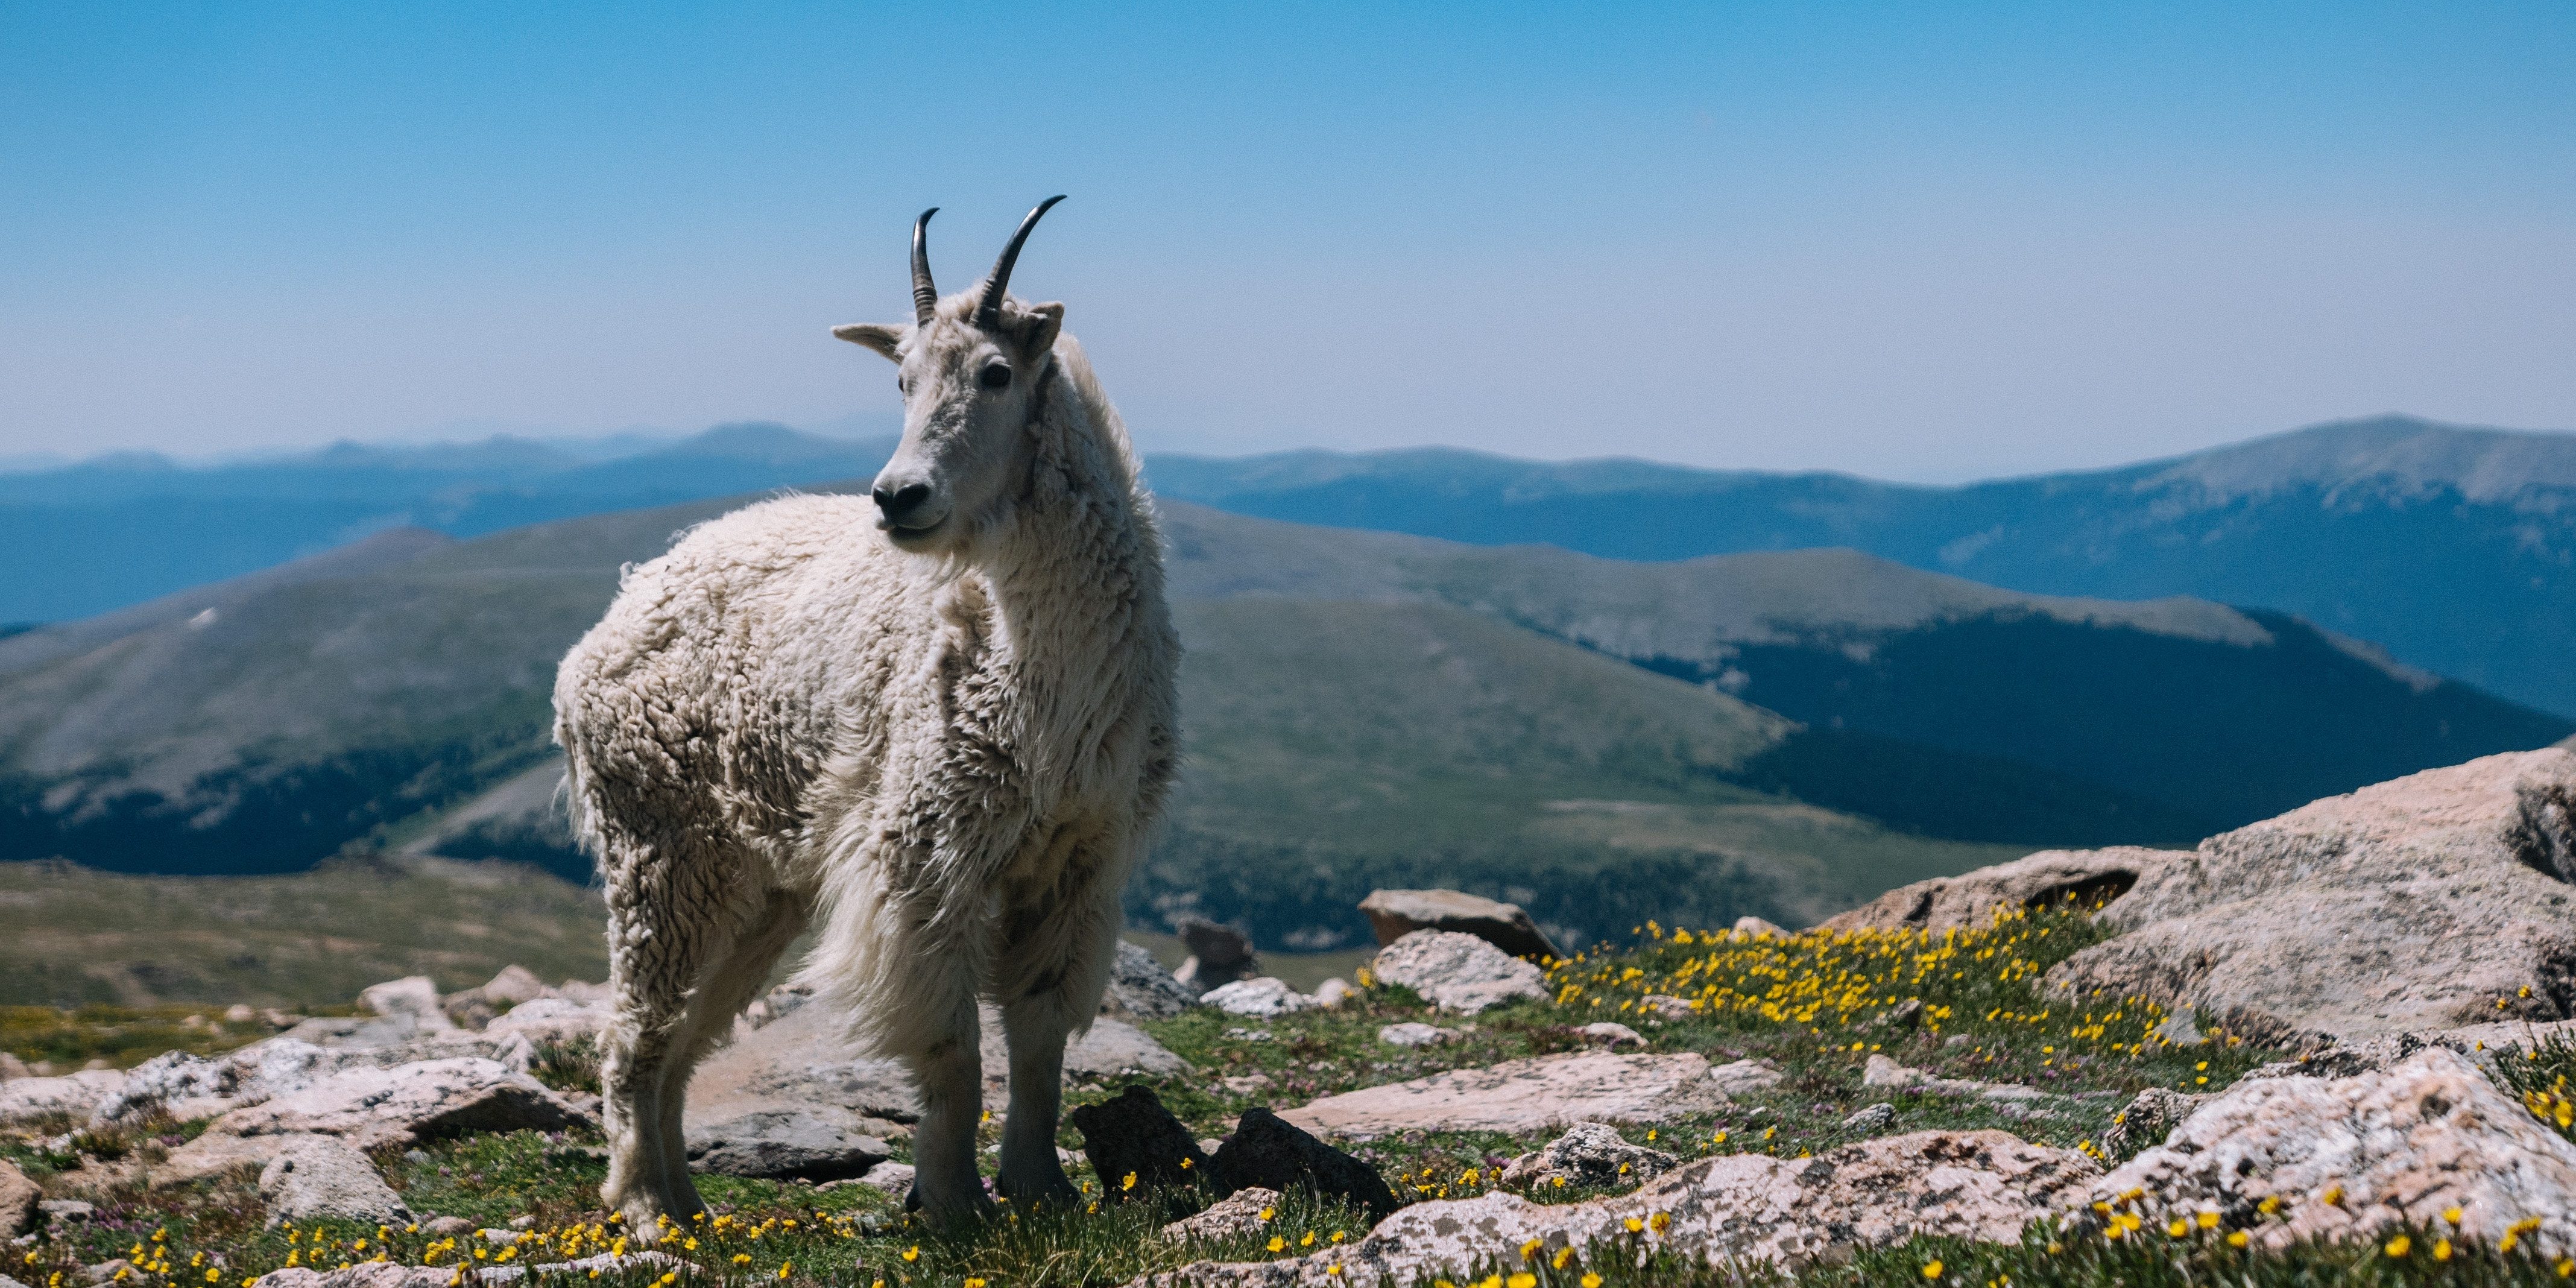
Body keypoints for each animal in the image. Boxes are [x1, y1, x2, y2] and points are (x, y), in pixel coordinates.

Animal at [559, 195, 1179, 1220]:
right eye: (901, 378)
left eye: (998, 372)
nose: (898, 497)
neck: (1042, 673)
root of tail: (609, 619)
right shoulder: (926, 850)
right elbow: (952, 1046)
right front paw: (957, 1204)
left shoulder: (1080, 859)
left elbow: (1040, 1037)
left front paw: (1040, 1191)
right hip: (662, 852)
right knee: (635, 1030)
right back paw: (644, 1203)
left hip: (759, 889)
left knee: (686, 1037)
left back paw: (691, 1207)